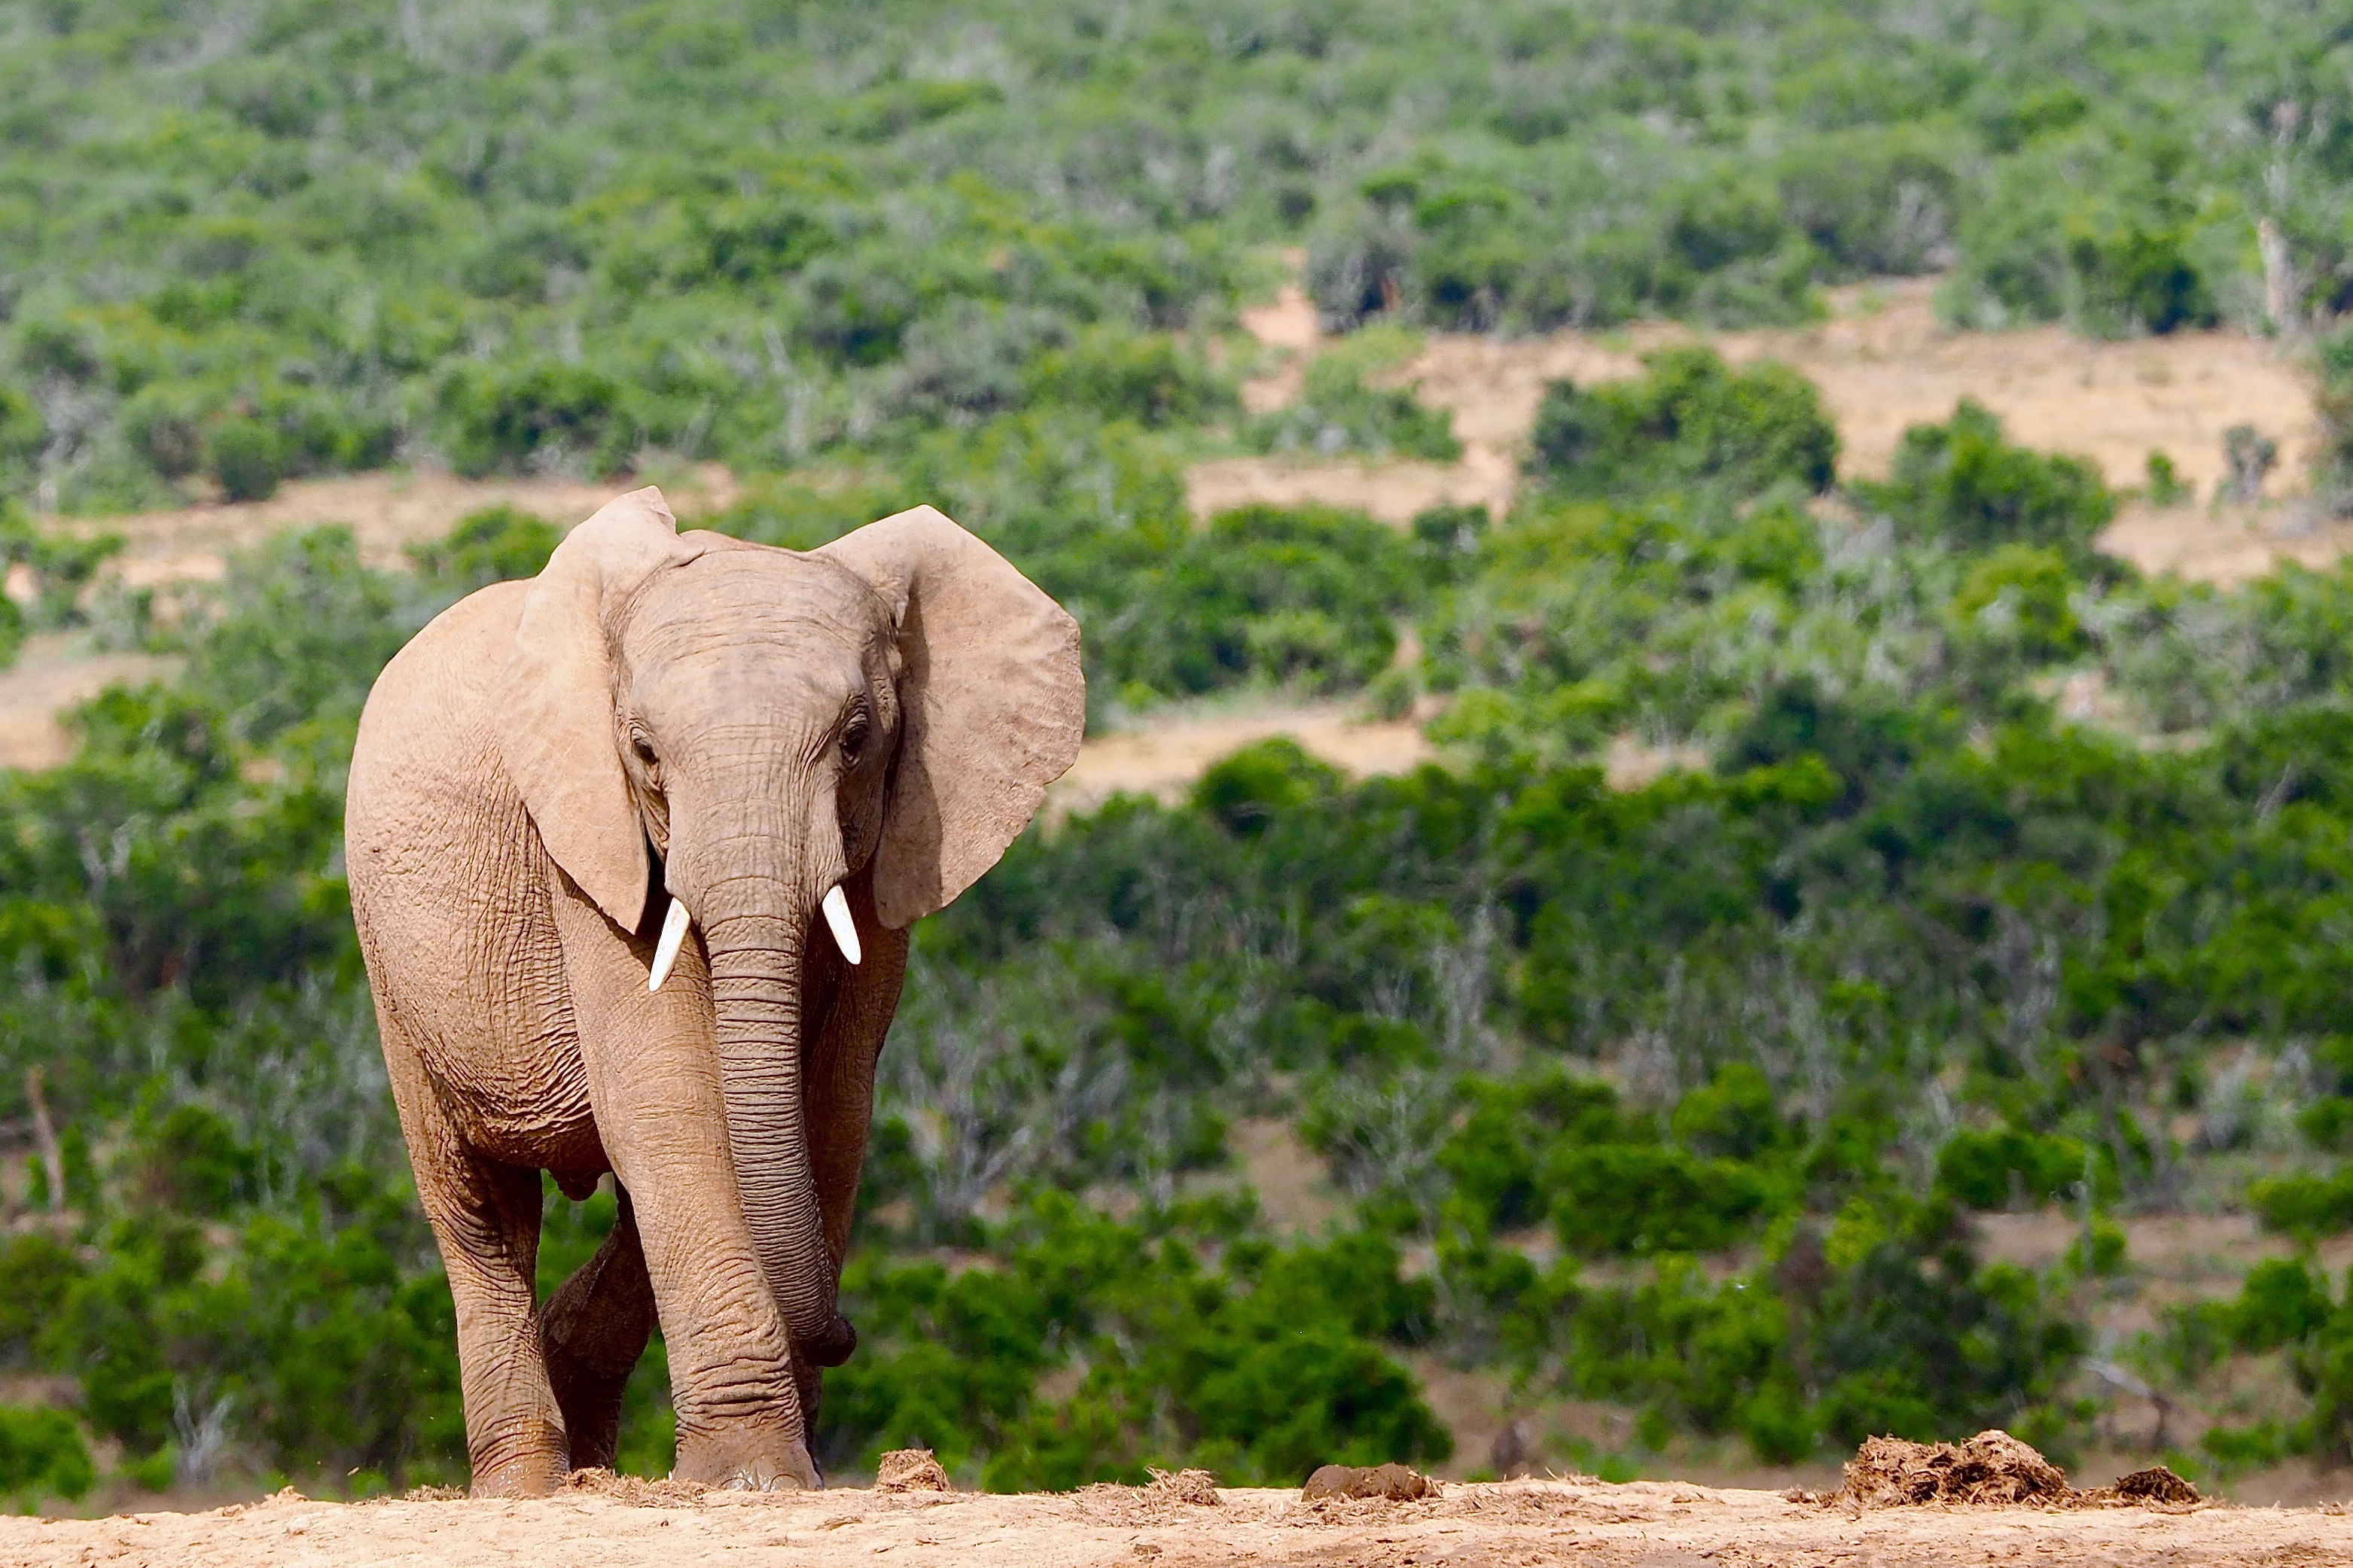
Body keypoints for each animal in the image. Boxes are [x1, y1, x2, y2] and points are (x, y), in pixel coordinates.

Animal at [344, 487, 1083, 1495]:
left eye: (858, 739)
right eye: (644, 752)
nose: (843, 1332)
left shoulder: (896, 848)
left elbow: (830, 1109)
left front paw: (786, 1466)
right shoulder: (584, 849)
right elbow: (671, 1096)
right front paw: (750, 1476)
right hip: (392, 965)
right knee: (481, 1212)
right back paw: (527, 1483)